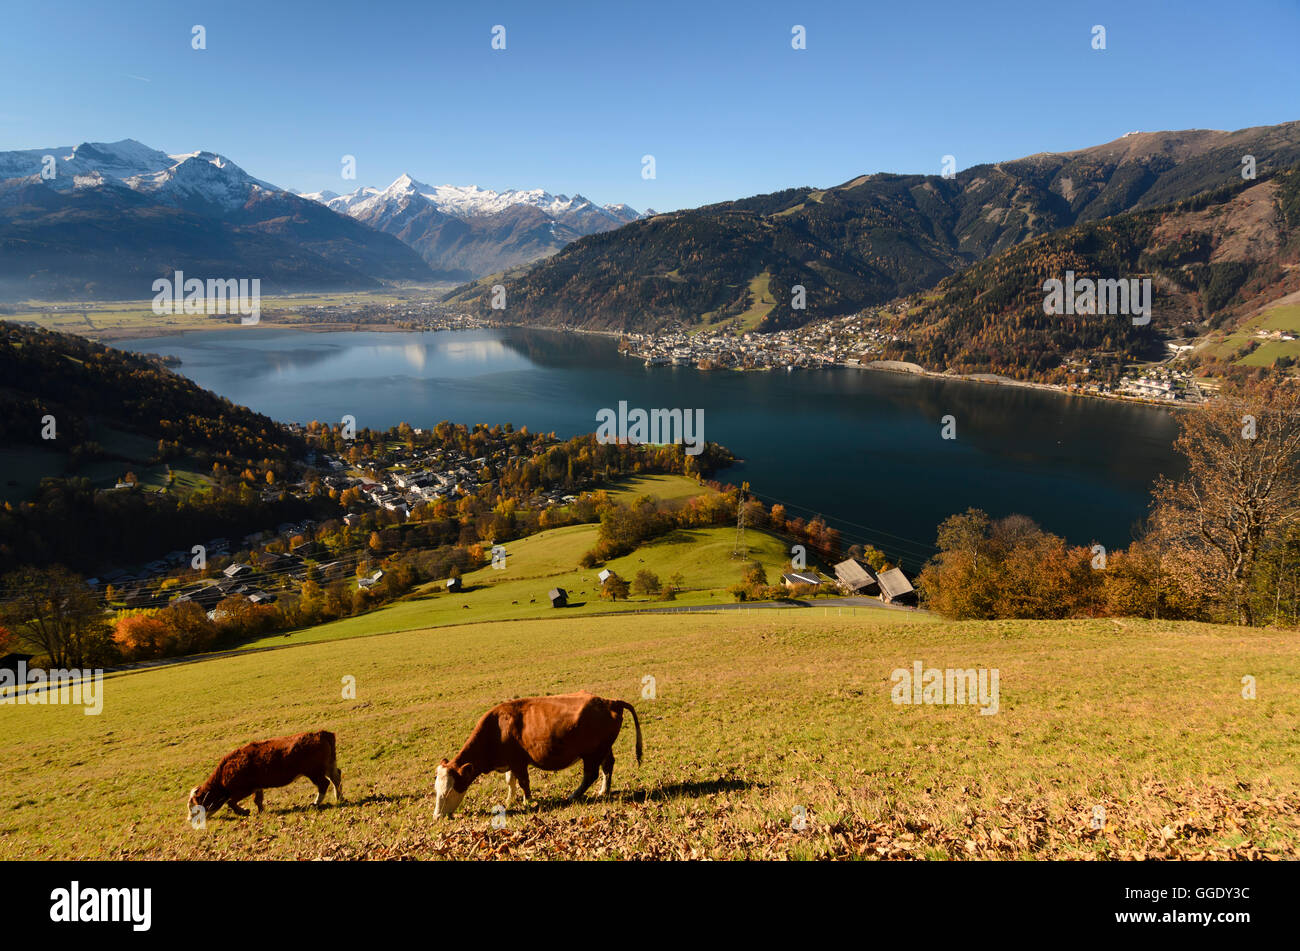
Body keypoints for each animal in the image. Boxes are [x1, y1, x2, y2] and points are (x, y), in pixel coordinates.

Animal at [188, 730, 342, 819]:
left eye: (194, 807)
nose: (189, 819)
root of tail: (321, 733)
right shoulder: (257, 787)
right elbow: (258, 800)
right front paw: (261, 811)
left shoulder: (244, 790)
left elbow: (231, 802)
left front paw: (244, 811)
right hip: (328, 765)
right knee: (336, 778)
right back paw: (339, 797)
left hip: (314, 772)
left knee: (324, 783)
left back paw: (315, 803)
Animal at [433, 692, 642, 819]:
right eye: (436, 789)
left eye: (449, 791)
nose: (437, 816)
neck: (497, 728)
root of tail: (610, 702)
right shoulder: (510, 762)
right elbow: (510, 781)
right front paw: (510, 799)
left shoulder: (519, 761)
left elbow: (524, 782)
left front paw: (528, 801)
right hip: (605, 748)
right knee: (608, 766)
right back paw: (604, 790)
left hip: (592, 753)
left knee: (591, 774)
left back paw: (573, 795)